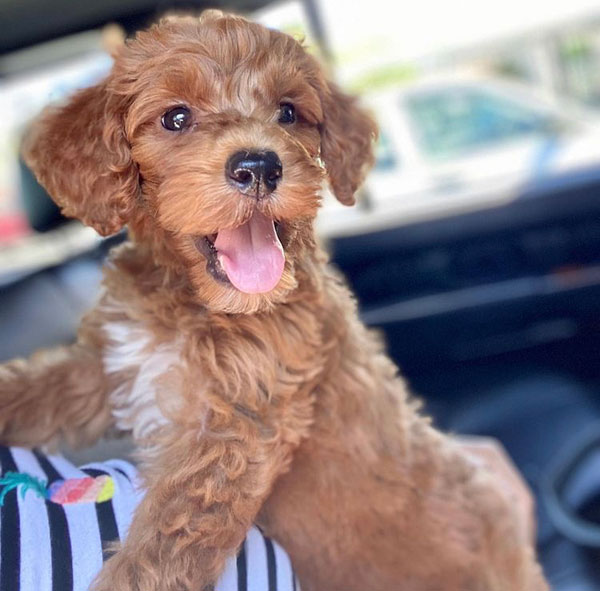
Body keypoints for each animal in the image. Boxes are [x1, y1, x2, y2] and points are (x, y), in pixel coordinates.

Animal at [0, 10, 548, 591]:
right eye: (175, 118)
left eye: (288, 113)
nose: (259, 166)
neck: (188, 303)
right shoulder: (108, 368)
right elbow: (40, 387)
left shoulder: (237, 430)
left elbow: (163, 546)